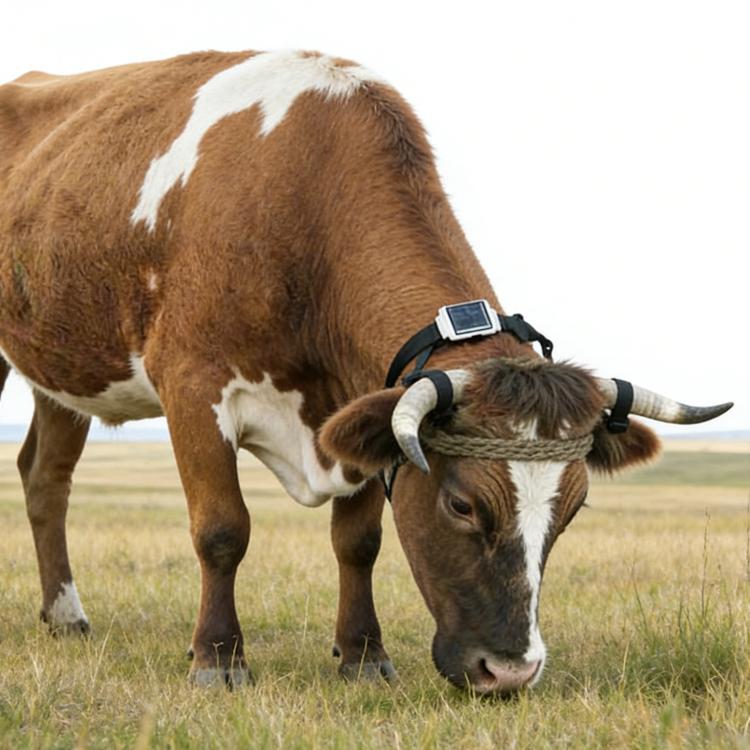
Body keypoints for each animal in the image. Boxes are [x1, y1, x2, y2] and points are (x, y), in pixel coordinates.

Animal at [0, 49, 731, 694]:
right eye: (461, 503)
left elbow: (358, 540)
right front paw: (217, 658)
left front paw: (362, 655)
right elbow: (222, 530)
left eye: (574, 507)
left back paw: (64, 616)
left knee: (45, 478)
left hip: (61, 369)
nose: (511, 672)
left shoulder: (358, 404)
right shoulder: (193, 385)